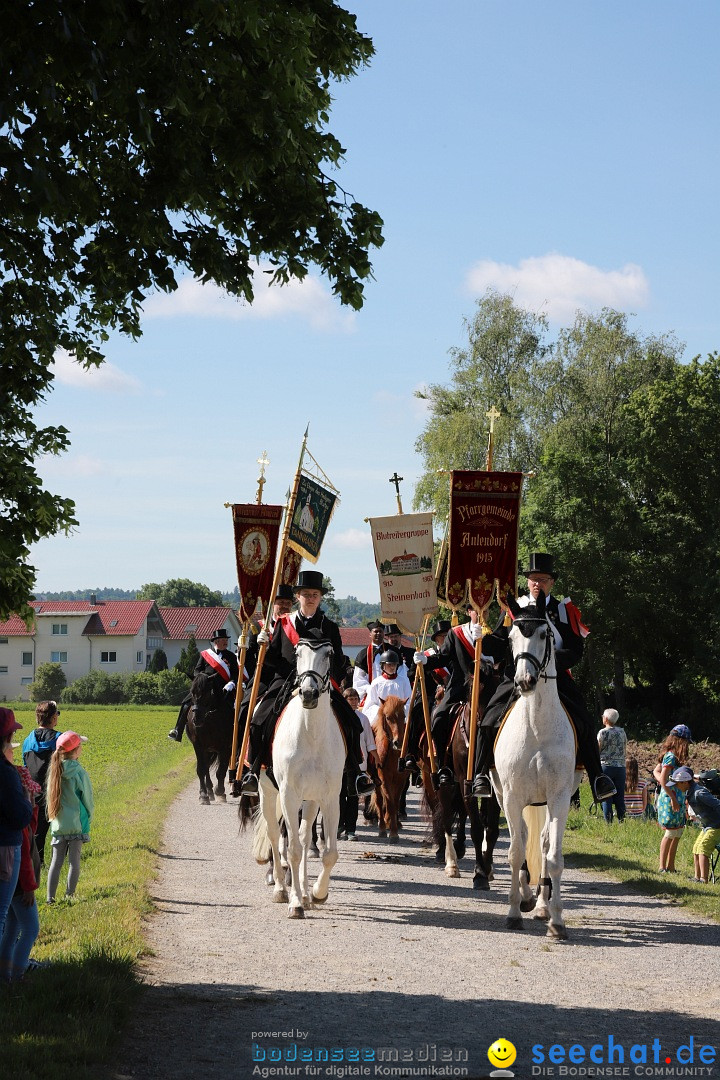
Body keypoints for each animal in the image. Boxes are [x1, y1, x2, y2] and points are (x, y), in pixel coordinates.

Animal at [187, 669, 232, 807]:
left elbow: (221, 770)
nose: (196, 719)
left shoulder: (226, 747)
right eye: (192, 692)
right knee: (206, 767)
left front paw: (220, 792)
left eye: (207, 692)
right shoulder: (198, 745)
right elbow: (201, 769)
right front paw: (203, 795)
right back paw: (209, 791)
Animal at [254, 639, 345, 920]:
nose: (308, 694)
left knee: (305, 839)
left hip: (311, 800)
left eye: (329, 654)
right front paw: (294, 902)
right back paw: (281, 889)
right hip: (268, 791)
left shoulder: (329, 798)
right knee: (275, 835)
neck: (311, 734)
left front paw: (317, 893)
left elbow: (329, 853)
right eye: (297, 653)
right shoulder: (288, 795)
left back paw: (304, 892)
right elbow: (291, 849)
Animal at [369, 695, 408, 838]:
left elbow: (395, 802)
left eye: (403, 715)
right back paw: (381, 826)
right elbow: (390, 802)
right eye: (387, 717)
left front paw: (393, 825)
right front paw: (393, 833)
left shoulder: (401, 780)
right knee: (380, 801)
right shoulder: (384, 779)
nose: (398, 742)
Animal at [490, 591, 587, 937]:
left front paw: (557, 919)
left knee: (543, 843)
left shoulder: (559, 797)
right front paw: (513, 911)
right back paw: (526, 898)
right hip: (503, 795)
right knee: (522, 836)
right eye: (511, 637)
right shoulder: (512, 795)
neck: (536, 726)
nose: (525, 681)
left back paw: (543, 905)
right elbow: (516, 851)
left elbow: (554, 855)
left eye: (545, 634)